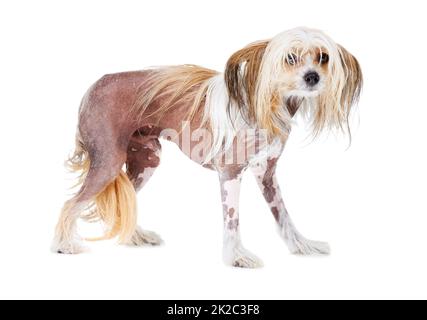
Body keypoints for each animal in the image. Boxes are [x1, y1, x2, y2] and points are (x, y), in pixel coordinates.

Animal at [51, 26, 362, 268]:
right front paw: (236, 257)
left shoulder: (266, 174)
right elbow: (232, 219)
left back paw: (134, 236)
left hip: (146, 160)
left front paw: (301, 245)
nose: (312, 77)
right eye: (290, 58)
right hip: (108, 161)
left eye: (323, 57)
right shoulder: (230, 172)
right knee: (72, 203)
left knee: (125, 200)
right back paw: (63, 245)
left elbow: (283, 215)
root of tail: (93, 86)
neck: (270, 106)